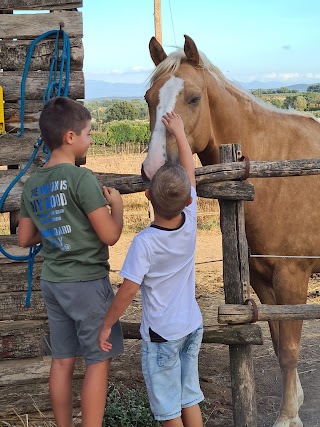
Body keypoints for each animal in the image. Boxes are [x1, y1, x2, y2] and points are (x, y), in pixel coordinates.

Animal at [142, 35, 320, 426]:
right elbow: (278, 343)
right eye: (149, 98)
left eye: (194, 98)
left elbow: (290, 349)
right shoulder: (263, 281)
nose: (155, 168)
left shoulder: (292, 276)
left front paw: (288, 416)